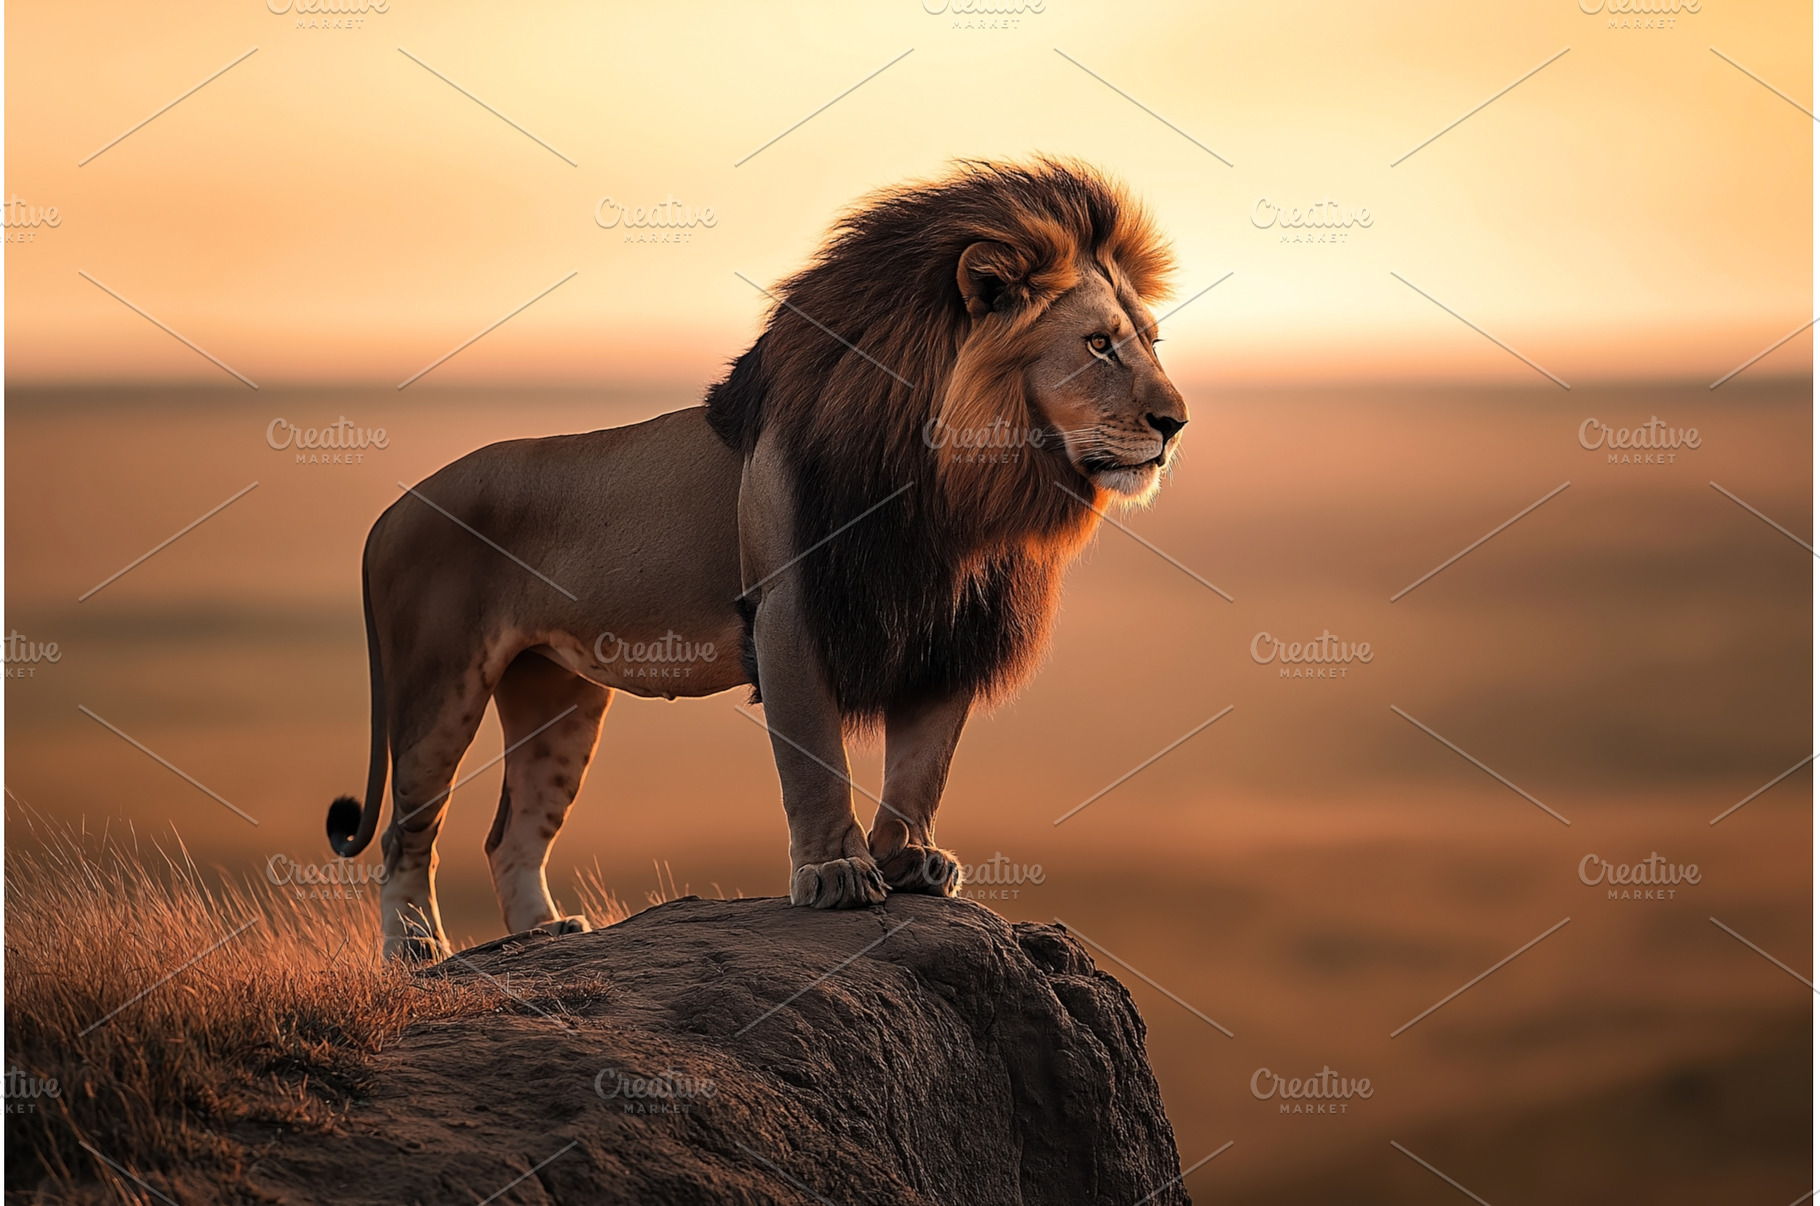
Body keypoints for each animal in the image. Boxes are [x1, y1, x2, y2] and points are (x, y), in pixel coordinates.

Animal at [326, 158, 1190, 959]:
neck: (959, 483)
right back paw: (416, 951)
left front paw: (910, 861)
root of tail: (390, 511)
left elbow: (924, 762)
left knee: (512, 831)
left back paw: (548, 934)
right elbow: (815, 758)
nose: (1175, 422)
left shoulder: (950, 627)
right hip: (440, 681)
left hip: (557, 694)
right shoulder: (789, 609)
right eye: (1098, 345)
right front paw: (835, 874)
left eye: (1151, 342)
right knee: (407, 830)